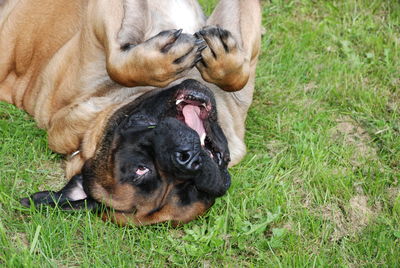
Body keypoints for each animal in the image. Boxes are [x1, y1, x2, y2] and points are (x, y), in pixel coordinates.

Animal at [0, 0, 262, 225]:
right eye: (141, 168)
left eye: (194, 188)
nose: (189, 160)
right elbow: (117, 66)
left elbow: (238, 77)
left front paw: (222, 60)